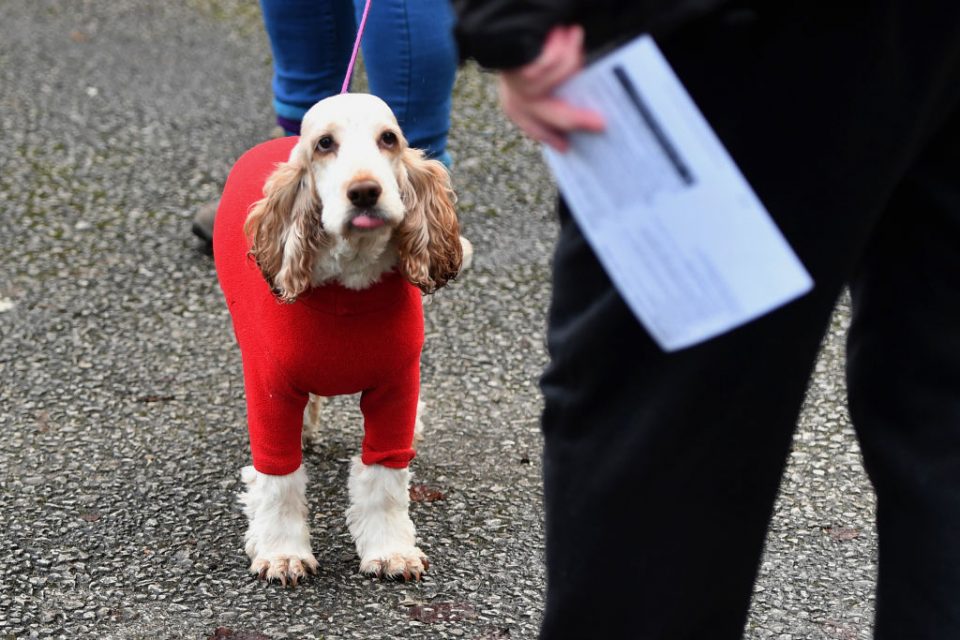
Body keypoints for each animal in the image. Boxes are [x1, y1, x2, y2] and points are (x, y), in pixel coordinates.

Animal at [216, 92, 474, 588]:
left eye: (389, 139)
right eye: (324, 144)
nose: (365, 191)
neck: (350, 287)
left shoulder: (396, 387)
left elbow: (384, 478)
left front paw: (391, 551)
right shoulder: (271, 389)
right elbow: (278, 479)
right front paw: (282, 553)